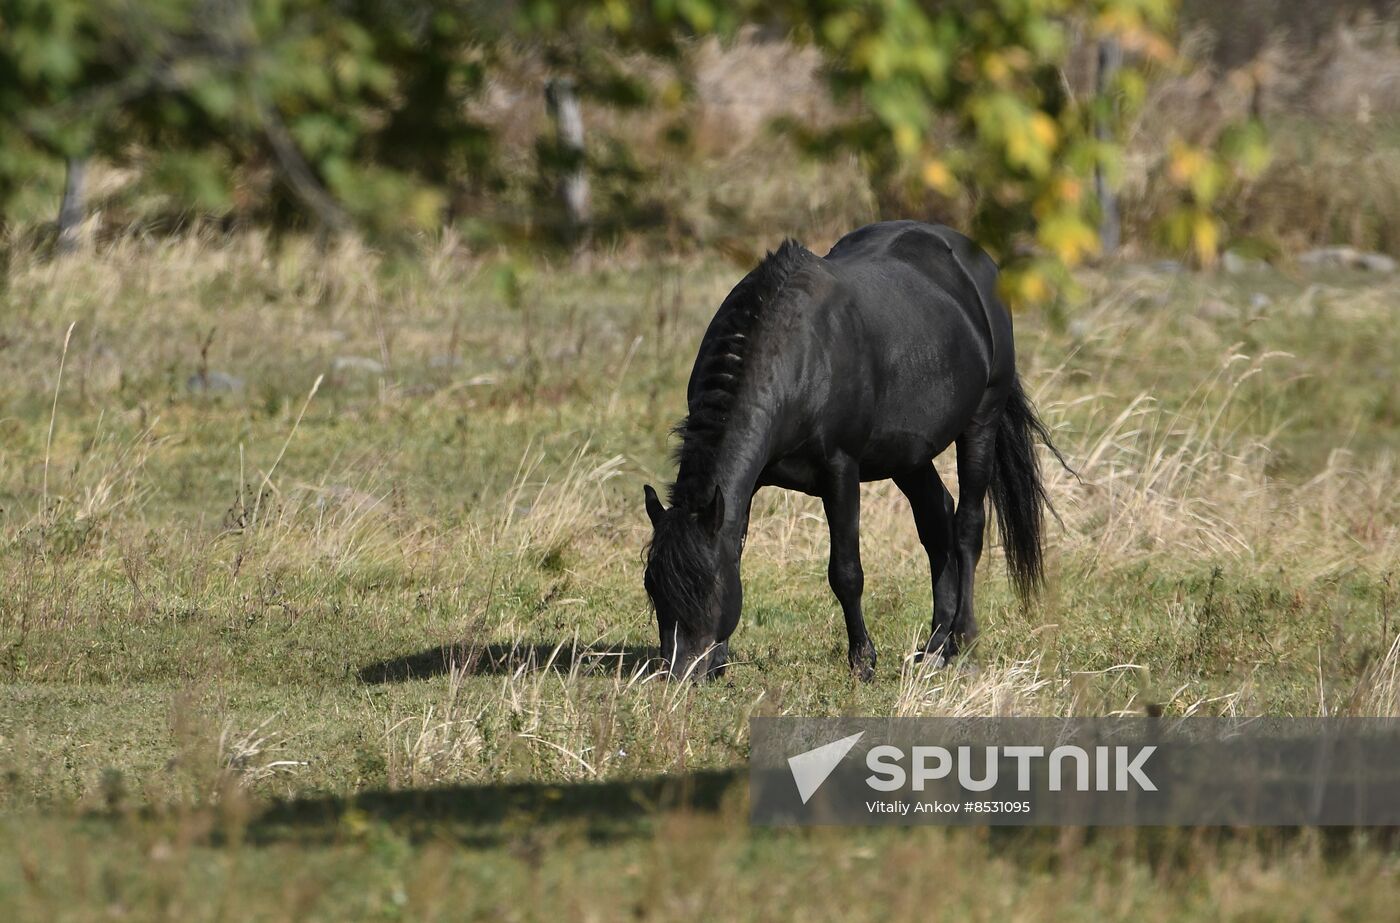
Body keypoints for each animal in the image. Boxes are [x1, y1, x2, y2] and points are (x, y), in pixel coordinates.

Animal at [641, 218, 1058, 677]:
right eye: (652, 588)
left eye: (705, 586)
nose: (679, 673)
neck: (800, 358)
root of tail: (977, 262)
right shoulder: (749, 483)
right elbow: (736, 545)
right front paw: (720, 660)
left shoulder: (840, 471)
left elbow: (845, 572)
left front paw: (862, 660)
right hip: (908, 455)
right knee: (937, 521)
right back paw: (934, 645)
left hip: (981, 421)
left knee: (967, 526)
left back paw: (961, 640)